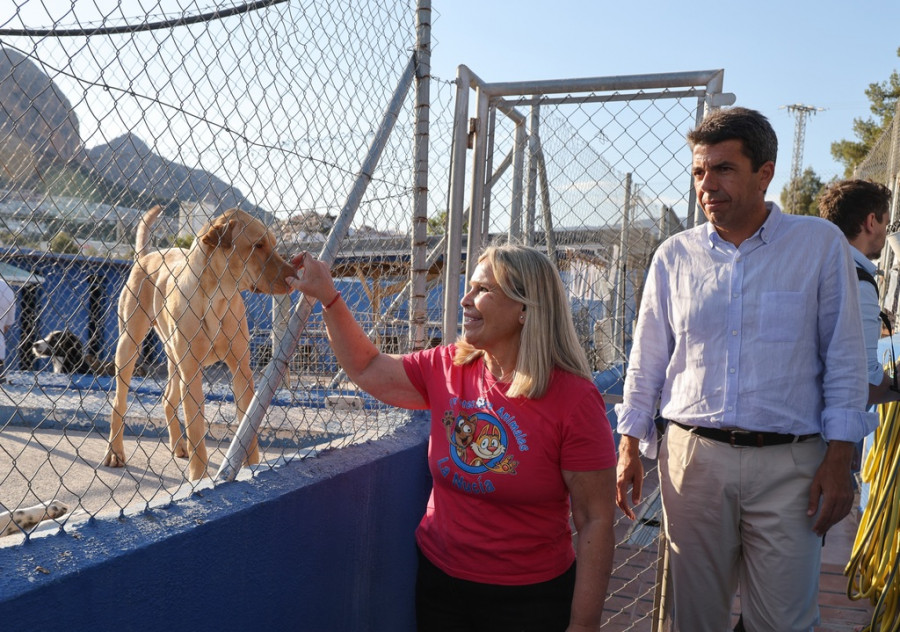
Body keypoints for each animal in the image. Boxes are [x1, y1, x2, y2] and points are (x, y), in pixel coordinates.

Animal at [102, 207, 294, 478]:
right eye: (258, 245)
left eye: (274, 244)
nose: (294, 274)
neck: (217, 298)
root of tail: (146, 256)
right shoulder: (191, 374)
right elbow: (196, 433)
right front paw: (198, 479)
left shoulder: (241, 371)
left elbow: (248, 429)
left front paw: (252, 468)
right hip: (129, 347)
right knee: (119, 402)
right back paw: (115, 452)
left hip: (174, 359)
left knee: (168, 399)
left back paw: (178, 445)